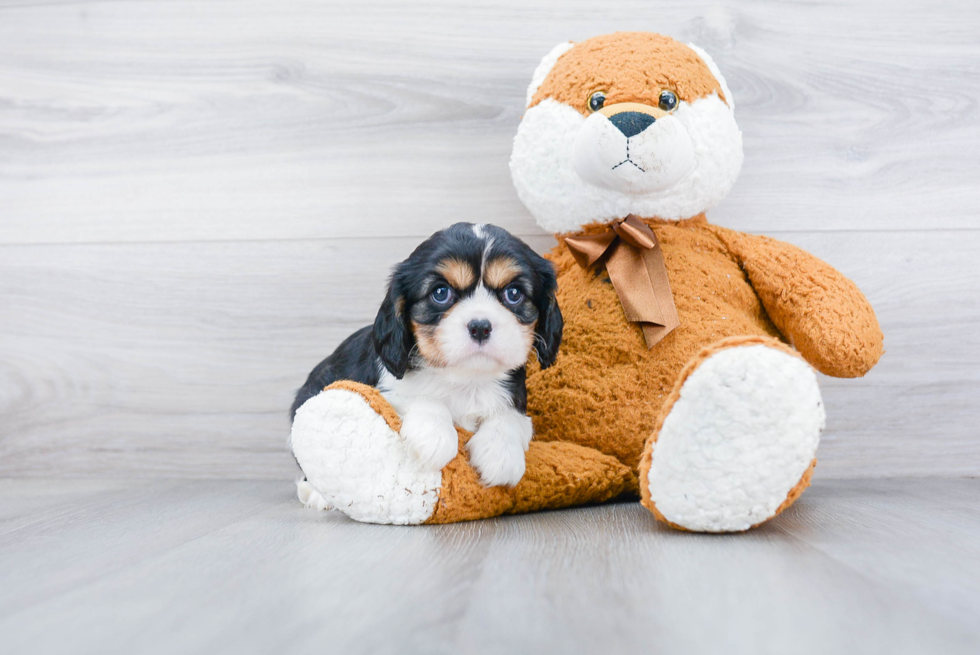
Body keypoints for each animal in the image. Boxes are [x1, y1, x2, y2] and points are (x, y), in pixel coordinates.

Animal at [290, 223, 564, 490]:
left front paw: (501, 454)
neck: (466, 380)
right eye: (440, 293)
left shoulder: (518, 402)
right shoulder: (386, 390)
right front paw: (434, 437)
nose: (480, 327)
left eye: (514, 294)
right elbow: (421, 397)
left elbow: (510, 417)